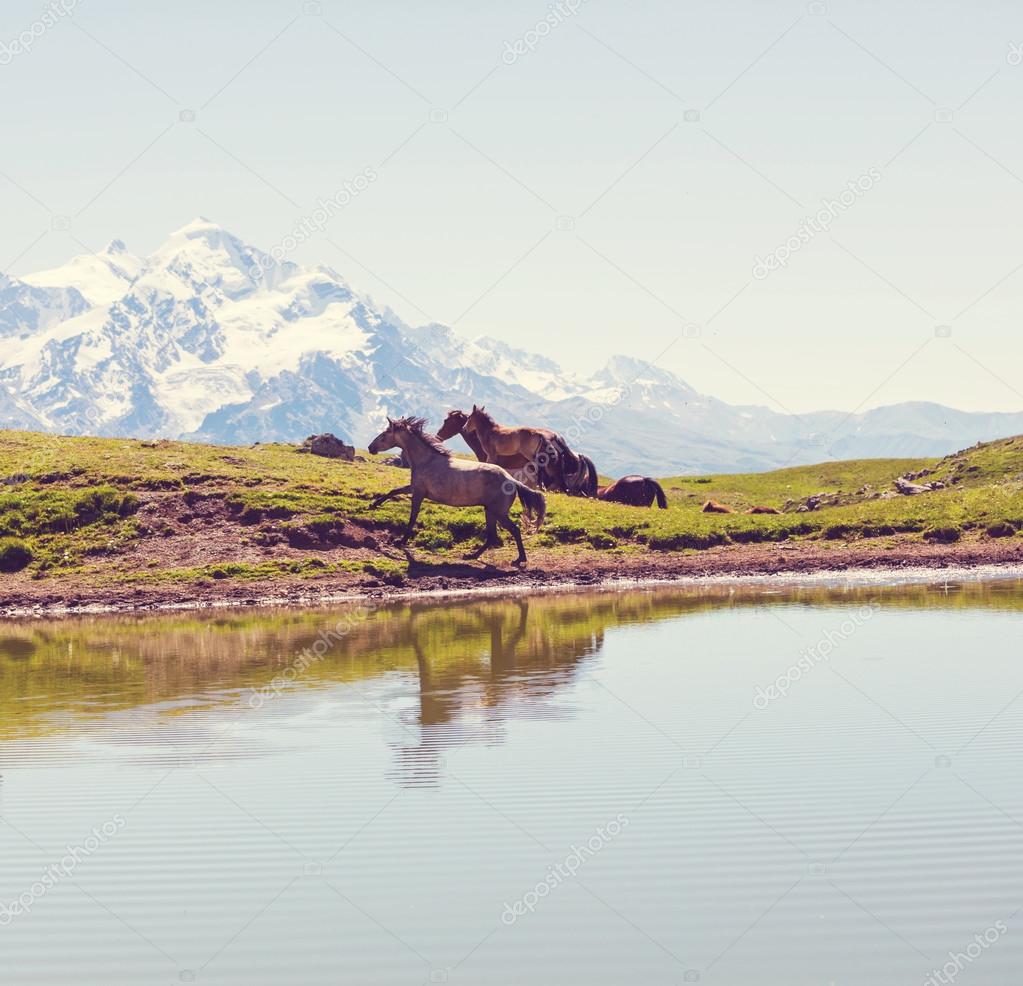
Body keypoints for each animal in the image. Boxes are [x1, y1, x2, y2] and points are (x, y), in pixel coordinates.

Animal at [366, 415, 544, 564]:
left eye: (385, 434)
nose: (370, 448)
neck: (426, 460)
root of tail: (512, 480)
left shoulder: (418, 493)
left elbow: (412, 518)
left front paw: (401, 542)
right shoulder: (414, 488)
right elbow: (394, 491)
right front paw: (373, 505)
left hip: (498, 512)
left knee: (514, 530)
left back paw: (519, 559)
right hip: (490, 511)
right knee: (493, 536)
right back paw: (472, 555)